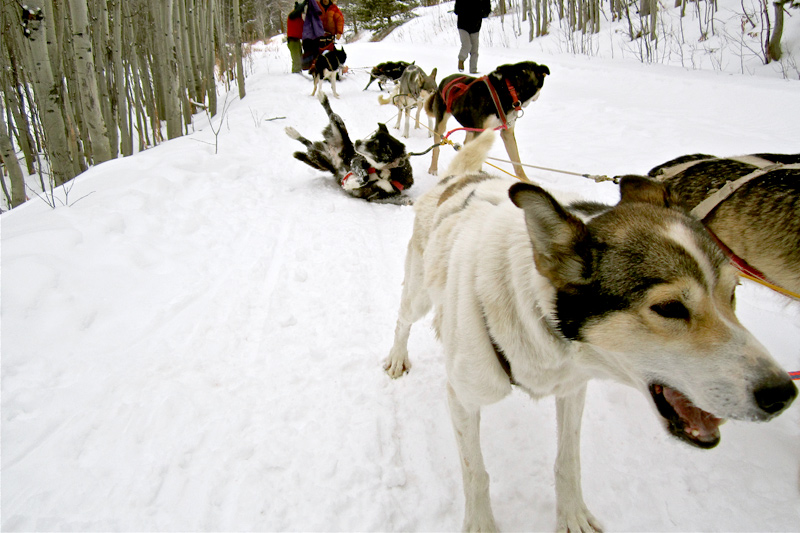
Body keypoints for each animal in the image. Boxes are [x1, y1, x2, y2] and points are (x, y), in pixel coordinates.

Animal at [384, 131, 796, 528]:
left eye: (733, 293)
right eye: (669, 308)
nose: (782, 393)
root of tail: (460, 178)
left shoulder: (572, 390)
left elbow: (568, 461)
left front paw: (572, 516)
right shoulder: (464, 400)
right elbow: (477, 474)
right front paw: (482, 525)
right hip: (418, 294)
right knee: (403, 320)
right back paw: (397, 357)